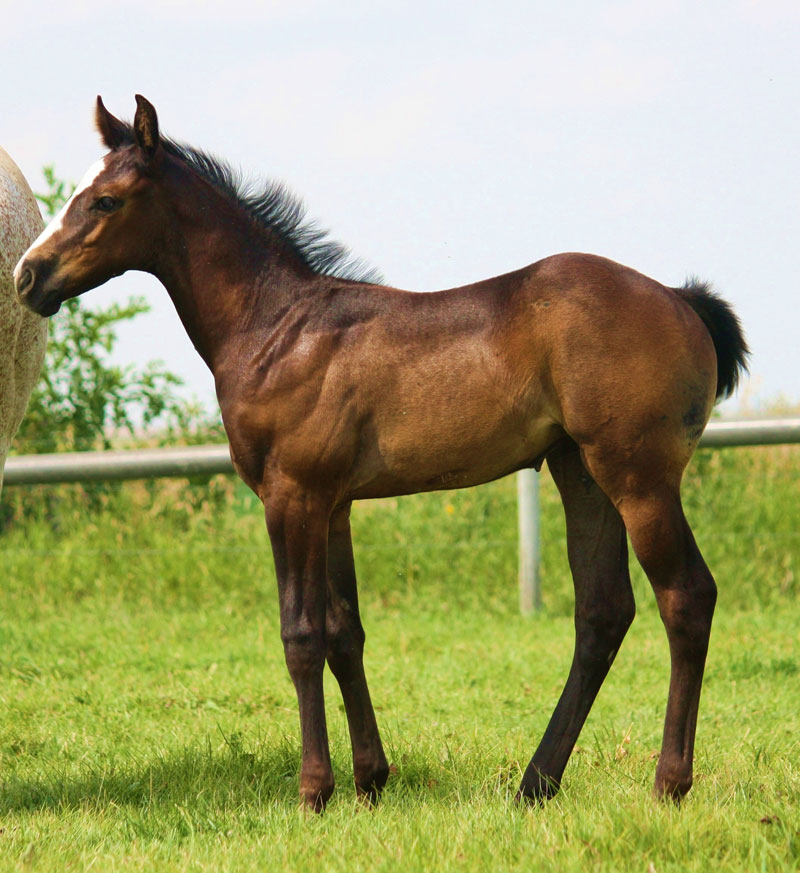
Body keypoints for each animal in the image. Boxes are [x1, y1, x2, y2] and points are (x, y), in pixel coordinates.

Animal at [15, 97, 748, 812]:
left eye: (105, 201)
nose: (27, 276)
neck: (277, 328)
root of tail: (681, 300)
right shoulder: (334, 503)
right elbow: (345, 632)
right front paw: (370, 779)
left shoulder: (292, 496)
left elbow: (301, 634)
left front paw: (314, 790)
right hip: (581, 473)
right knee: (602, 611)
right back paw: (535, 783)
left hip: (638, 478)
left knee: (686, 596)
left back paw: (667, 783)